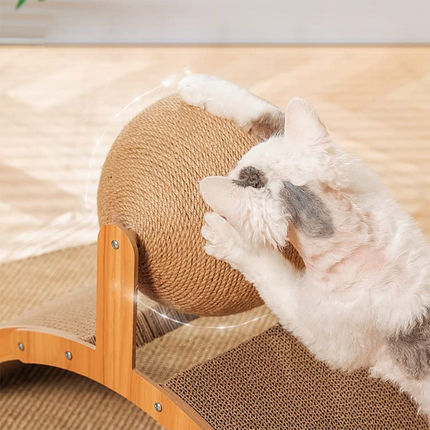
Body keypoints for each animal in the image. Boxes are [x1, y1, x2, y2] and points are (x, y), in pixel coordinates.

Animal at [177, 74, 430, 420]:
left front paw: (226, 236)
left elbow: (268, 271)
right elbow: (268, 113)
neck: (358, 235)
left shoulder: (326, 335)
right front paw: (199, 83)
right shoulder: (354, 173)